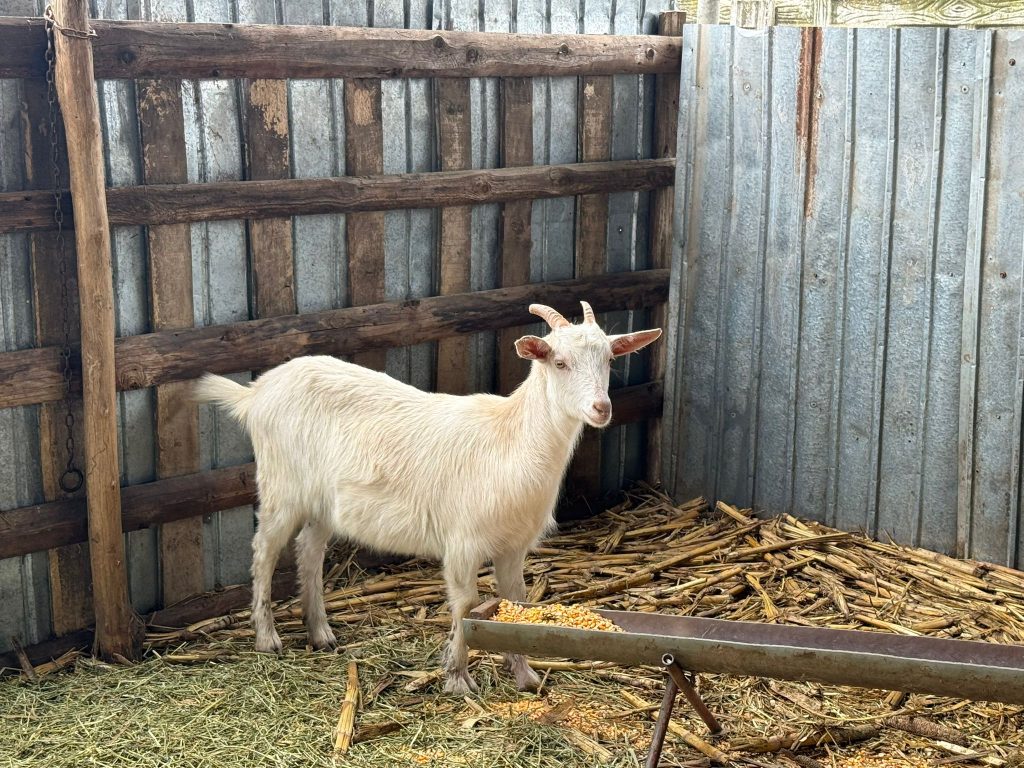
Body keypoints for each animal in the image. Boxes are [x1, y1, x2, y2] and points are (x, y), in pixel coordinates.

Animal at [194, 300, 661, 694]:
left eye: (610, 359)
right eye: (559, 362)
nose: (601, 408)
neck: (510, 440)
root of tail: (255, 393)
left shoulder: (514, 546)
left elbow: (518, 602)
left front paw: (525, 675)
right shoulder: (463, 542)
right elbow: (466, 604)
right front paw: (457, 678)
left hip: (323, 502)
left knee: (309, 550)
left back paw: (321, 632)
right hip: (282, 486)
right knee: (264, 550)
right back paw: (267, 637)